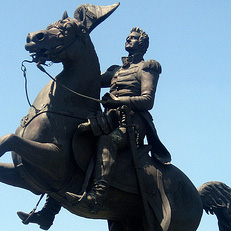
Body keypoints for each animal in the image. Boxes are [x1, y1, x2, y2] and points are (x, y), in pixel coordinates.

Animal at [0, 3, 231, 231]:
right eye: (51, 25)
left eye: (70, 29)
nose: (33, 37)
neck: (66, 109)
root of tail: (196, 194)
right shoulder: (25, 177)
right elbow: (7, 146)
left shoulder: (52, 162)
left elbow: (10, 139)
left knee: (108, 142)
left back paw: (90, 198)